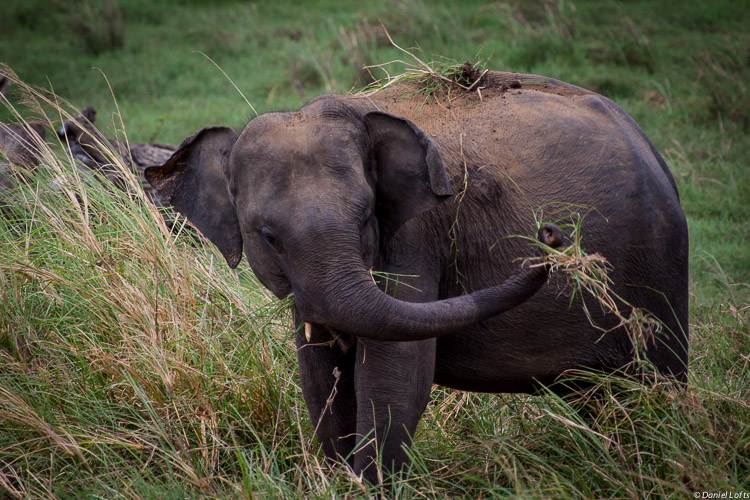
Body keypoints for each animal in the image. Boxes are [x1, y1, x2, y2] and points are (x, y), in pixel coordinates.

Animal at [145, 69, 689, 484]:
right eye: (268, 236)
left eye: (366, 216)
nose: (550, 233)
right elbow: (320, 374)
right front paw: (339, 480)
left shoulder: (417, 234)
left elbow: (395, 374)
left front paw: (369, 486)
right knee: (603, 398)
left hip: (658, 263)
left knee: (659, 381)